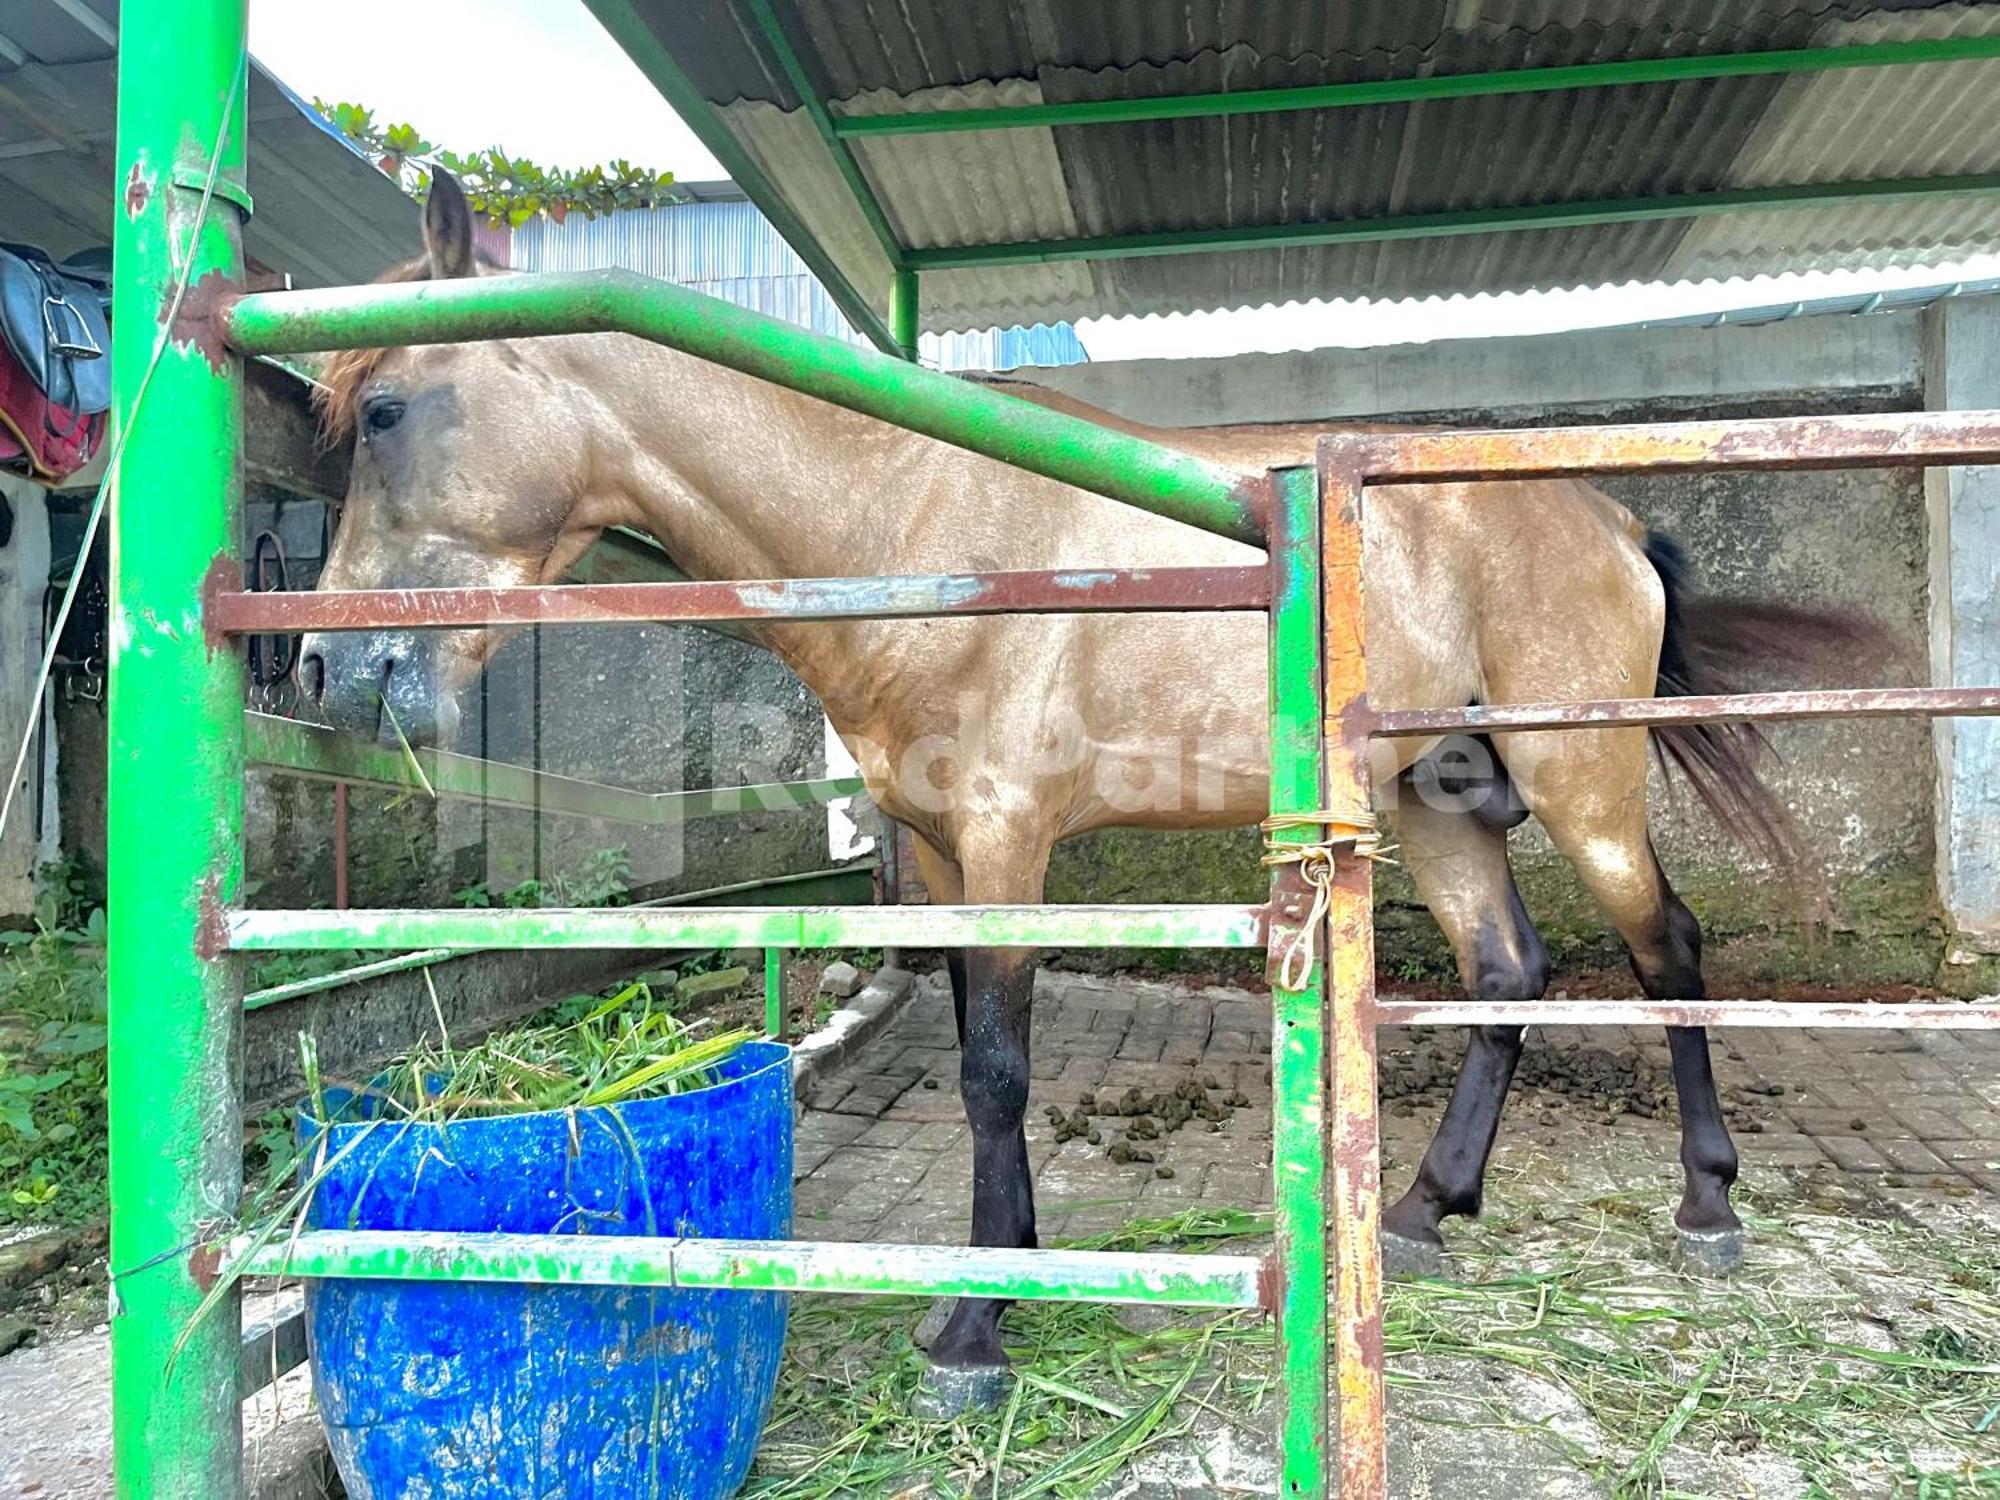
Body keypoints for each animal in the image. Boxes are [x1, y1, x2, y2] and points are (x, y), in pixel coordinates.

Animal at [296, 179, 1872, 1424]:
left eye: (382, 408)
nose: (327, 667)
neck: (921, 524)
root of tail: (1608, 517)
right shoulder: (941, 857)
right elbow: (971, 1052)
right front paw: (1013, 1265)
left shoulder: (1009, 841)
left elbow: (996, 1070)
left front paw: (975, 1331)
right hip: (1436, 803)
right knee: (1506, 971)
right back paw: (1426, 1212)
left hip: (1579, 785)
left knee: (1664, 950)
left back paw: (1707, 1206)